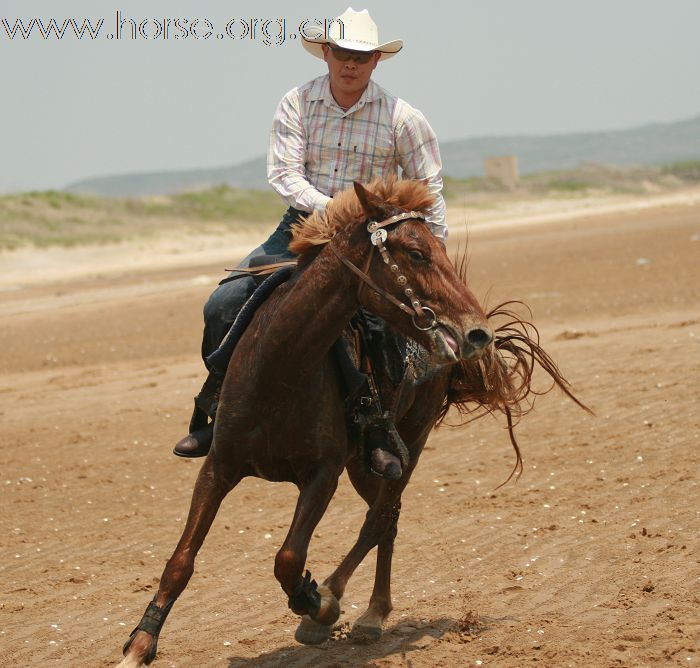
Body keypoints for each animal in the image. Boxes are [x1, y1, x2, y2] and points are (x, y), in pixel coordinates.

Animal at [119, 180, 580, 664]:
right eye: (416, 253)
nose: (477, 333)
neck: (280, 368)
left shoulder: (323, 475)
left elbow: (288, 558)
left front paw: (317, 602)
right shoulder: (219, 466)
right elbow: (181, 561)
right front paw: (140, 643)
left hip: (407, 447)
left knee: (380, 519)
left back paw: (357, 611)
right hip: (363, 465)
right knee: (384, 520)